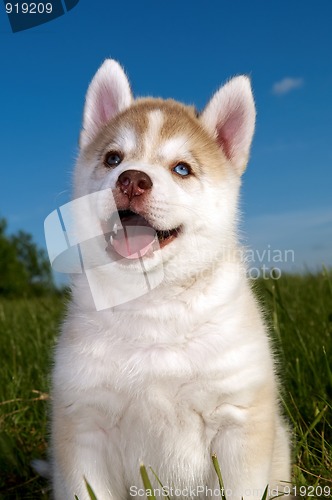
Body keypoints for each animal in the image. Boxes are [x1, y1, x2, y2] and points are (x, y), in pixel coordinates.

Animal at [50, 59, 292, 500]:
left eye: (182, 169)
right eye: (113, 159)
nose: (131, 180)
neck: (153, 305)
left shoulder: (236, 423)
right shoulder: (86, 428)